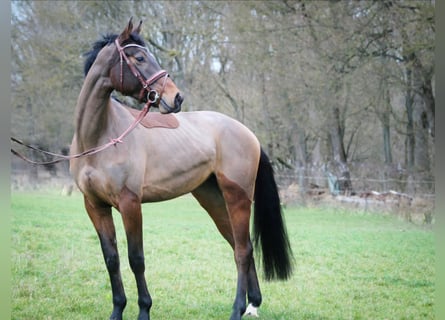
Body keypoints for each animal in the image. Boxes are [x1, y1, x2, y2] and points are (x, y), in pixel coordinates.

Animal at [69, 18, 294, 320]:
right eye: (139, 58)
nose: (176, 98)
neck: (100, 138)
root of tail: (248, 134)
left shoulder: (130, 204)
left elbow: (136, 259)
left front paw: (144, 310)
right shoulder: (95, 206)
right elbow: (112, 259)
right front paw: (117, 311)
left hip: (237, 197)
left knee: (242, 251)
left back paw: (237, 309)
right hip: (213, 199)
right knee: (239, 245)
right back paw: (253, 303)